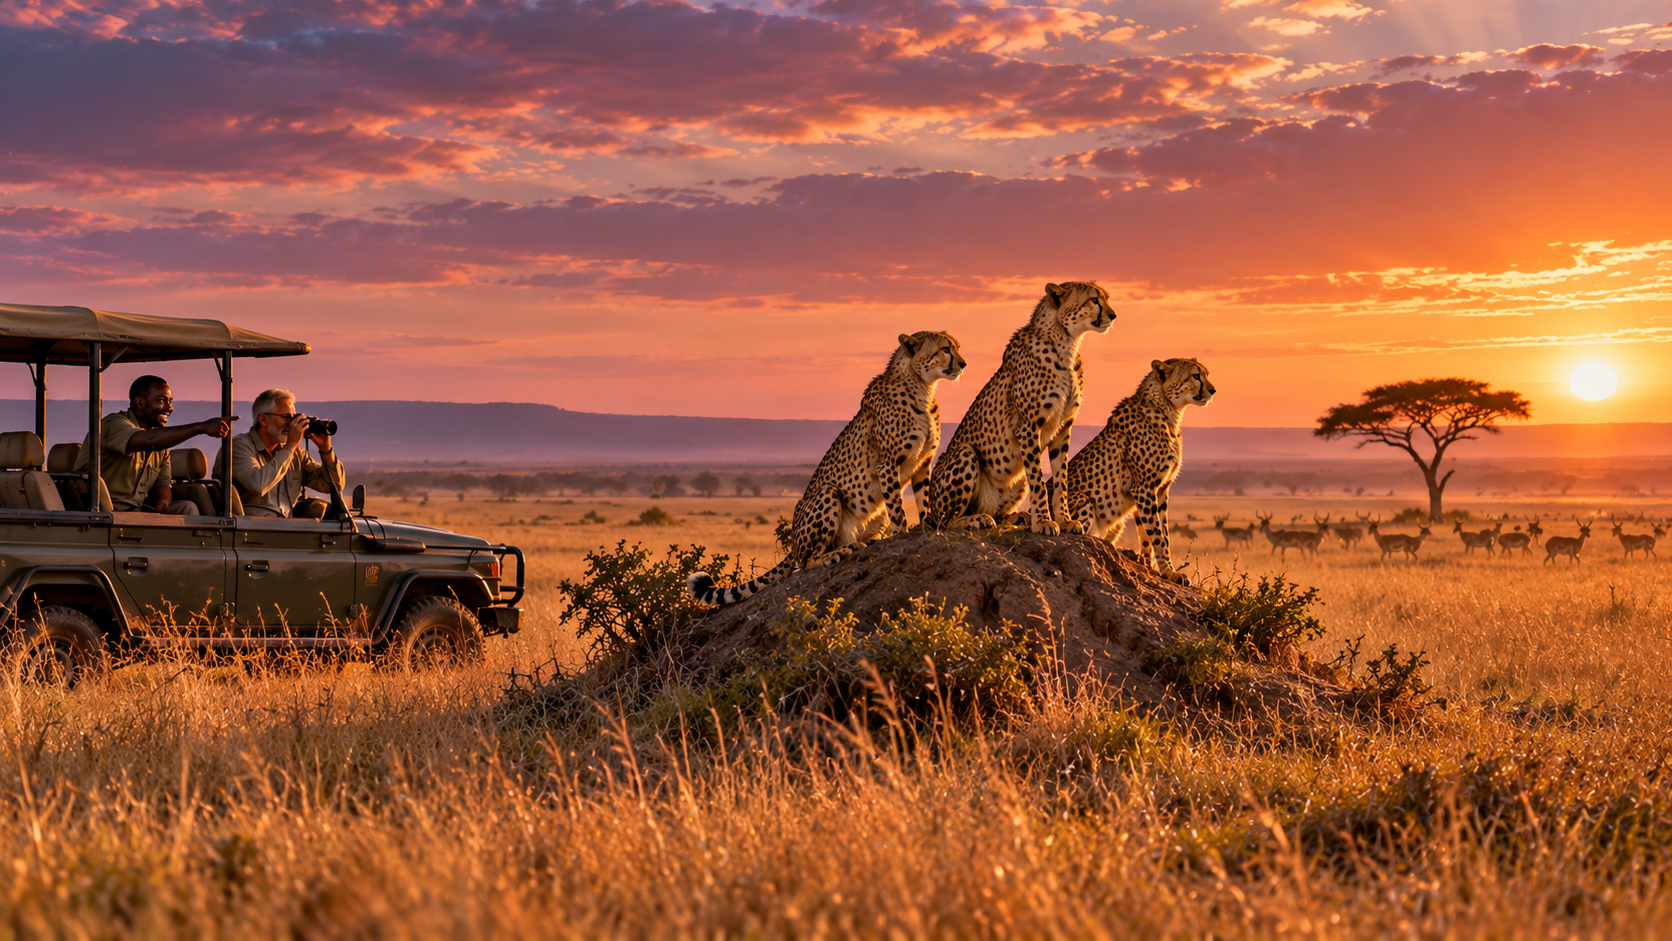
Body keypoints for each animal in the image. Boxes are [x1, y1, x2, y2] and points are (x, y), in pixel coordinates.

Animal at [689, 331, 966, 606]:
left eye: (957, 347)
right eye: (945, 349)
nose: (963, 364)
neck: (921, 387)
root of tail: (793, 541)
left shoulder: (923, 464)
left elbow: (924, 499)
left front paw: (929, 525)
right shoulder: (887, 463)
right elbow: (897, 510)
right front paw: (902, 534)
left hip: (873, 514)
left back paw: (863, 543)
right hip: (827, 494)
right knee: (805, 562)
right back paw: (838, 553)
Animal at [923, 281, 1114, 534]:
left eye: (1106, 298)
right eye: (1094, 300)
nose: (1113, 315)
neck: (1066, 343)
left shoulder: (1063, 429)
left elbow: (1060, 481)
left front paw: (1064, 520)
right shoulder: (1029, 428)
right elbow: (1039, 482)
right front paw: (1043, 522)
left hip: (1016, 478)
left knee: (999, 513)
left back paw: (1018, 517)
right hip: (964, 453)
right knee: (946, 522)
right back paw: (978, 519)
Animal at [1061, 357, 1214, 584]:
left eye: (1206, 374)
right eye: (1195, 376)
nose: (1213, 390)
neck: (1168, 410)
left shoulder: (1160, 490)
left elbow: (1154, 531)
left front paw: (1148, 564)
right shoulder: (1144, 487)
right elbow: (1158, 534)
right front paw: (1169, 571)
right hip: (1084, 499)